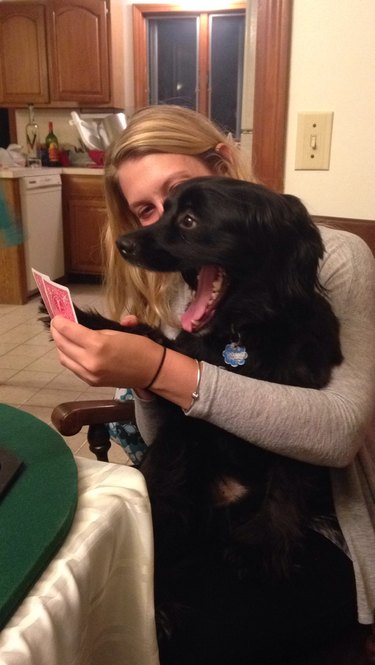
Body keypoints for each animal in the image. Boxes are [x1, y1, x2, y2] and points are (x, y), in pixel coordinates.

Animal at [54, 179, 346, 660]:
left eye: (190, 220)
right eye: (160, 210)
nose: (122, 243)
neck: (243, 334)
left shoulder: (305, 409)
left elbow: (288, 479)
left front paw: (265, 543)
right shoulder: (188, 372)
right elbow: (153, 339)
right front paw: (90, 321)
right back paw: (156, 609)